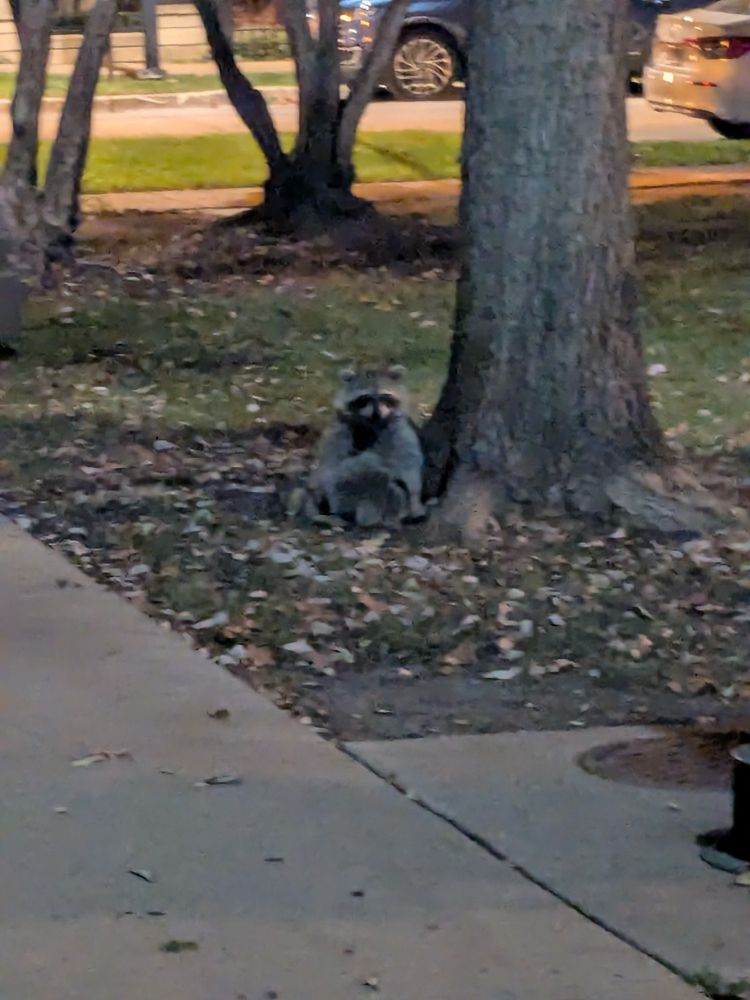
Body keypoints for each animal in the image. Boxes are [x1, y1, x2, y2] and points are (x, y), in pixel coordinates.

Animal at [308, 367, 425, 527]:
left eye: (384, 397)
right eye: (365, 398)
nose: (376, 414)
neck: (373, 424)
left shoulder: (398, 428)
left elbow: (409, 459)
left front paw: (415, 499)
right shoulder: (339, 430)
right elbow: (333, 466)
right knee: (367, 477)